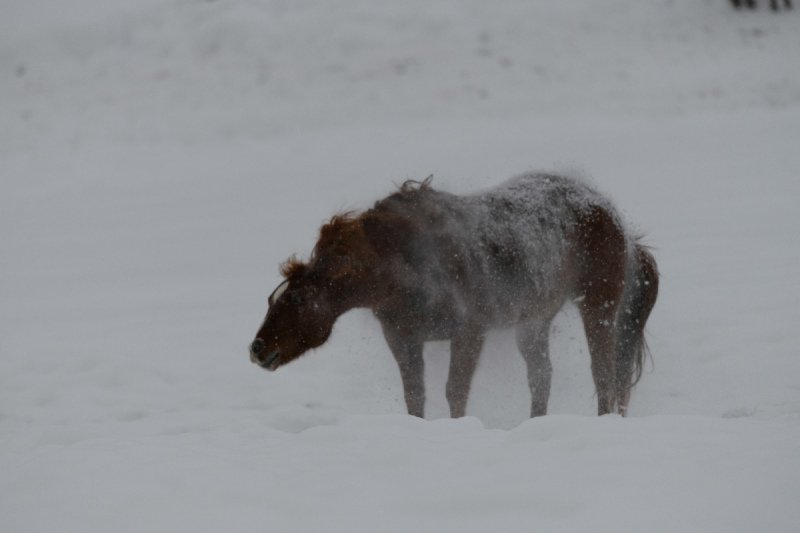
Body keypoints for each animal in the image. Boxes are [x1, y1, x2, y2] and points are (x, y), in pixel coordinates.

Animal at [248, 174, 656, 416]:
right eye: (271, 300)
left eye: (298, 299)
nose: (258, 349)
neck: (400, 269)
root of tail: (607, 209)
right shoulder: (403, 339)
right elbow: (416, 395)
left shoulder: (468, 333)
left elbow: (454, 392)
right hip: (534, 322)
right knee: (542, 376)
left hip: (598, 305)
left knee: (604, 374)